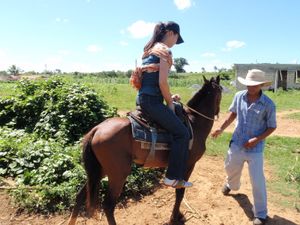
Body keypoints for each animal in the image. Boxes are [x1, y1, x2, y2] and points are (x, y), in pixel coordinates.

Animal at [68, 76, 223, 225]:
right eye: (221, 91)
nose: (218, 112)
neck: (194, 123)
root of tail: (97, 129)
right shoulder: (188, 165)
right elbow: (180, 193)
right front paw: (174, 218)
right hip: (118, 174)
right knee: (108, 206)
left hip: (99, 170)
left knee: (80, 195)